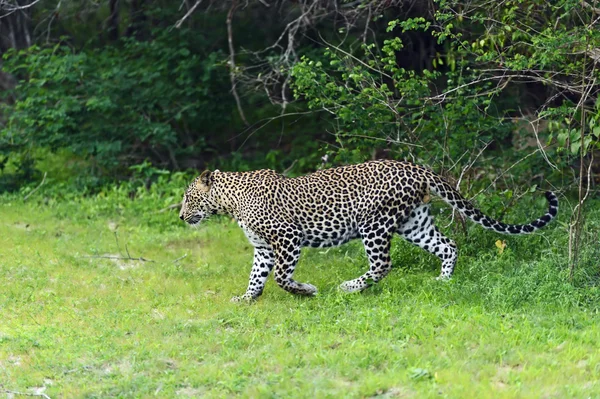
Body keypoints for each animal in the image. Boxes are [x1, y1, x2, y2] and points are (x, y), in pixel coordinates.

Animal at [177, 159, 556, 300]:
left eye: (188, 197)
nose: (180, 216)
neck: (229, 202)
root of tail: (416, 168)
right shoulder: (264, 247)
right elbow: (257, 276)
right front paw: (246, 298)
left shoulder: (288, 238)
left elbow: (282, 277)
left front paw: (306, 290)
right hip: (413, 222)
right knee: (448, 245)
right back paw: (443, 281)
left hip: (374, 224)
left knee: (382, 265)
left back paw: (350, 287)